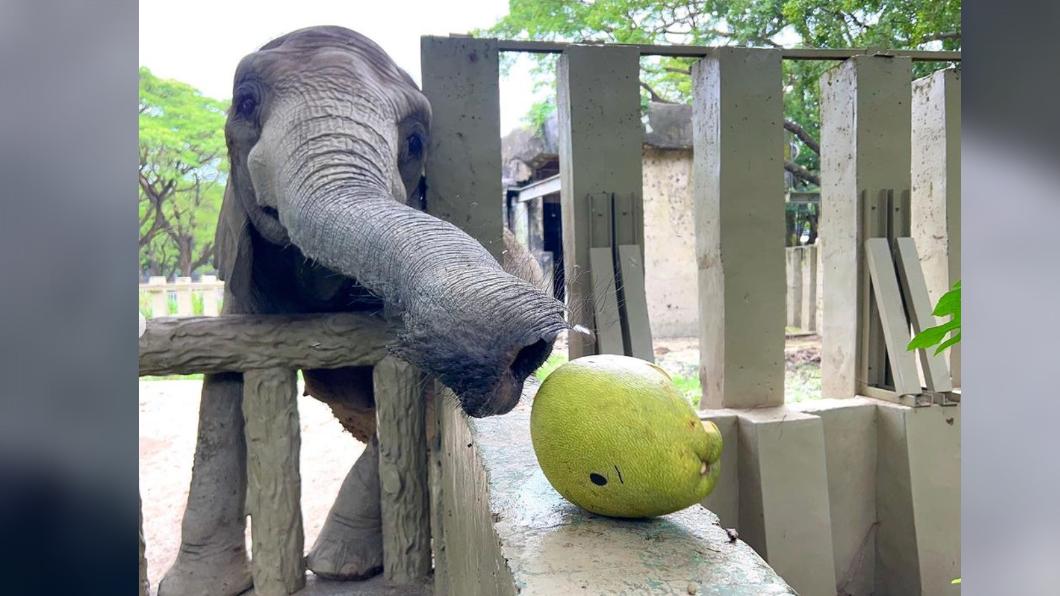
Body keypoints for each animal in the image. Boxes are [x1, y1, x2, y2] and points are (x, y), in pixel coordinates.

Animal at [158, 26, 565, 595]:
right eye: (246, 103)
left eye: (414, 141)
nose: (529, 349)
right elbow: (222, 389)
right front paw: (196, 586)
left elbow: (411, 390)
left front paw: (338, 565)